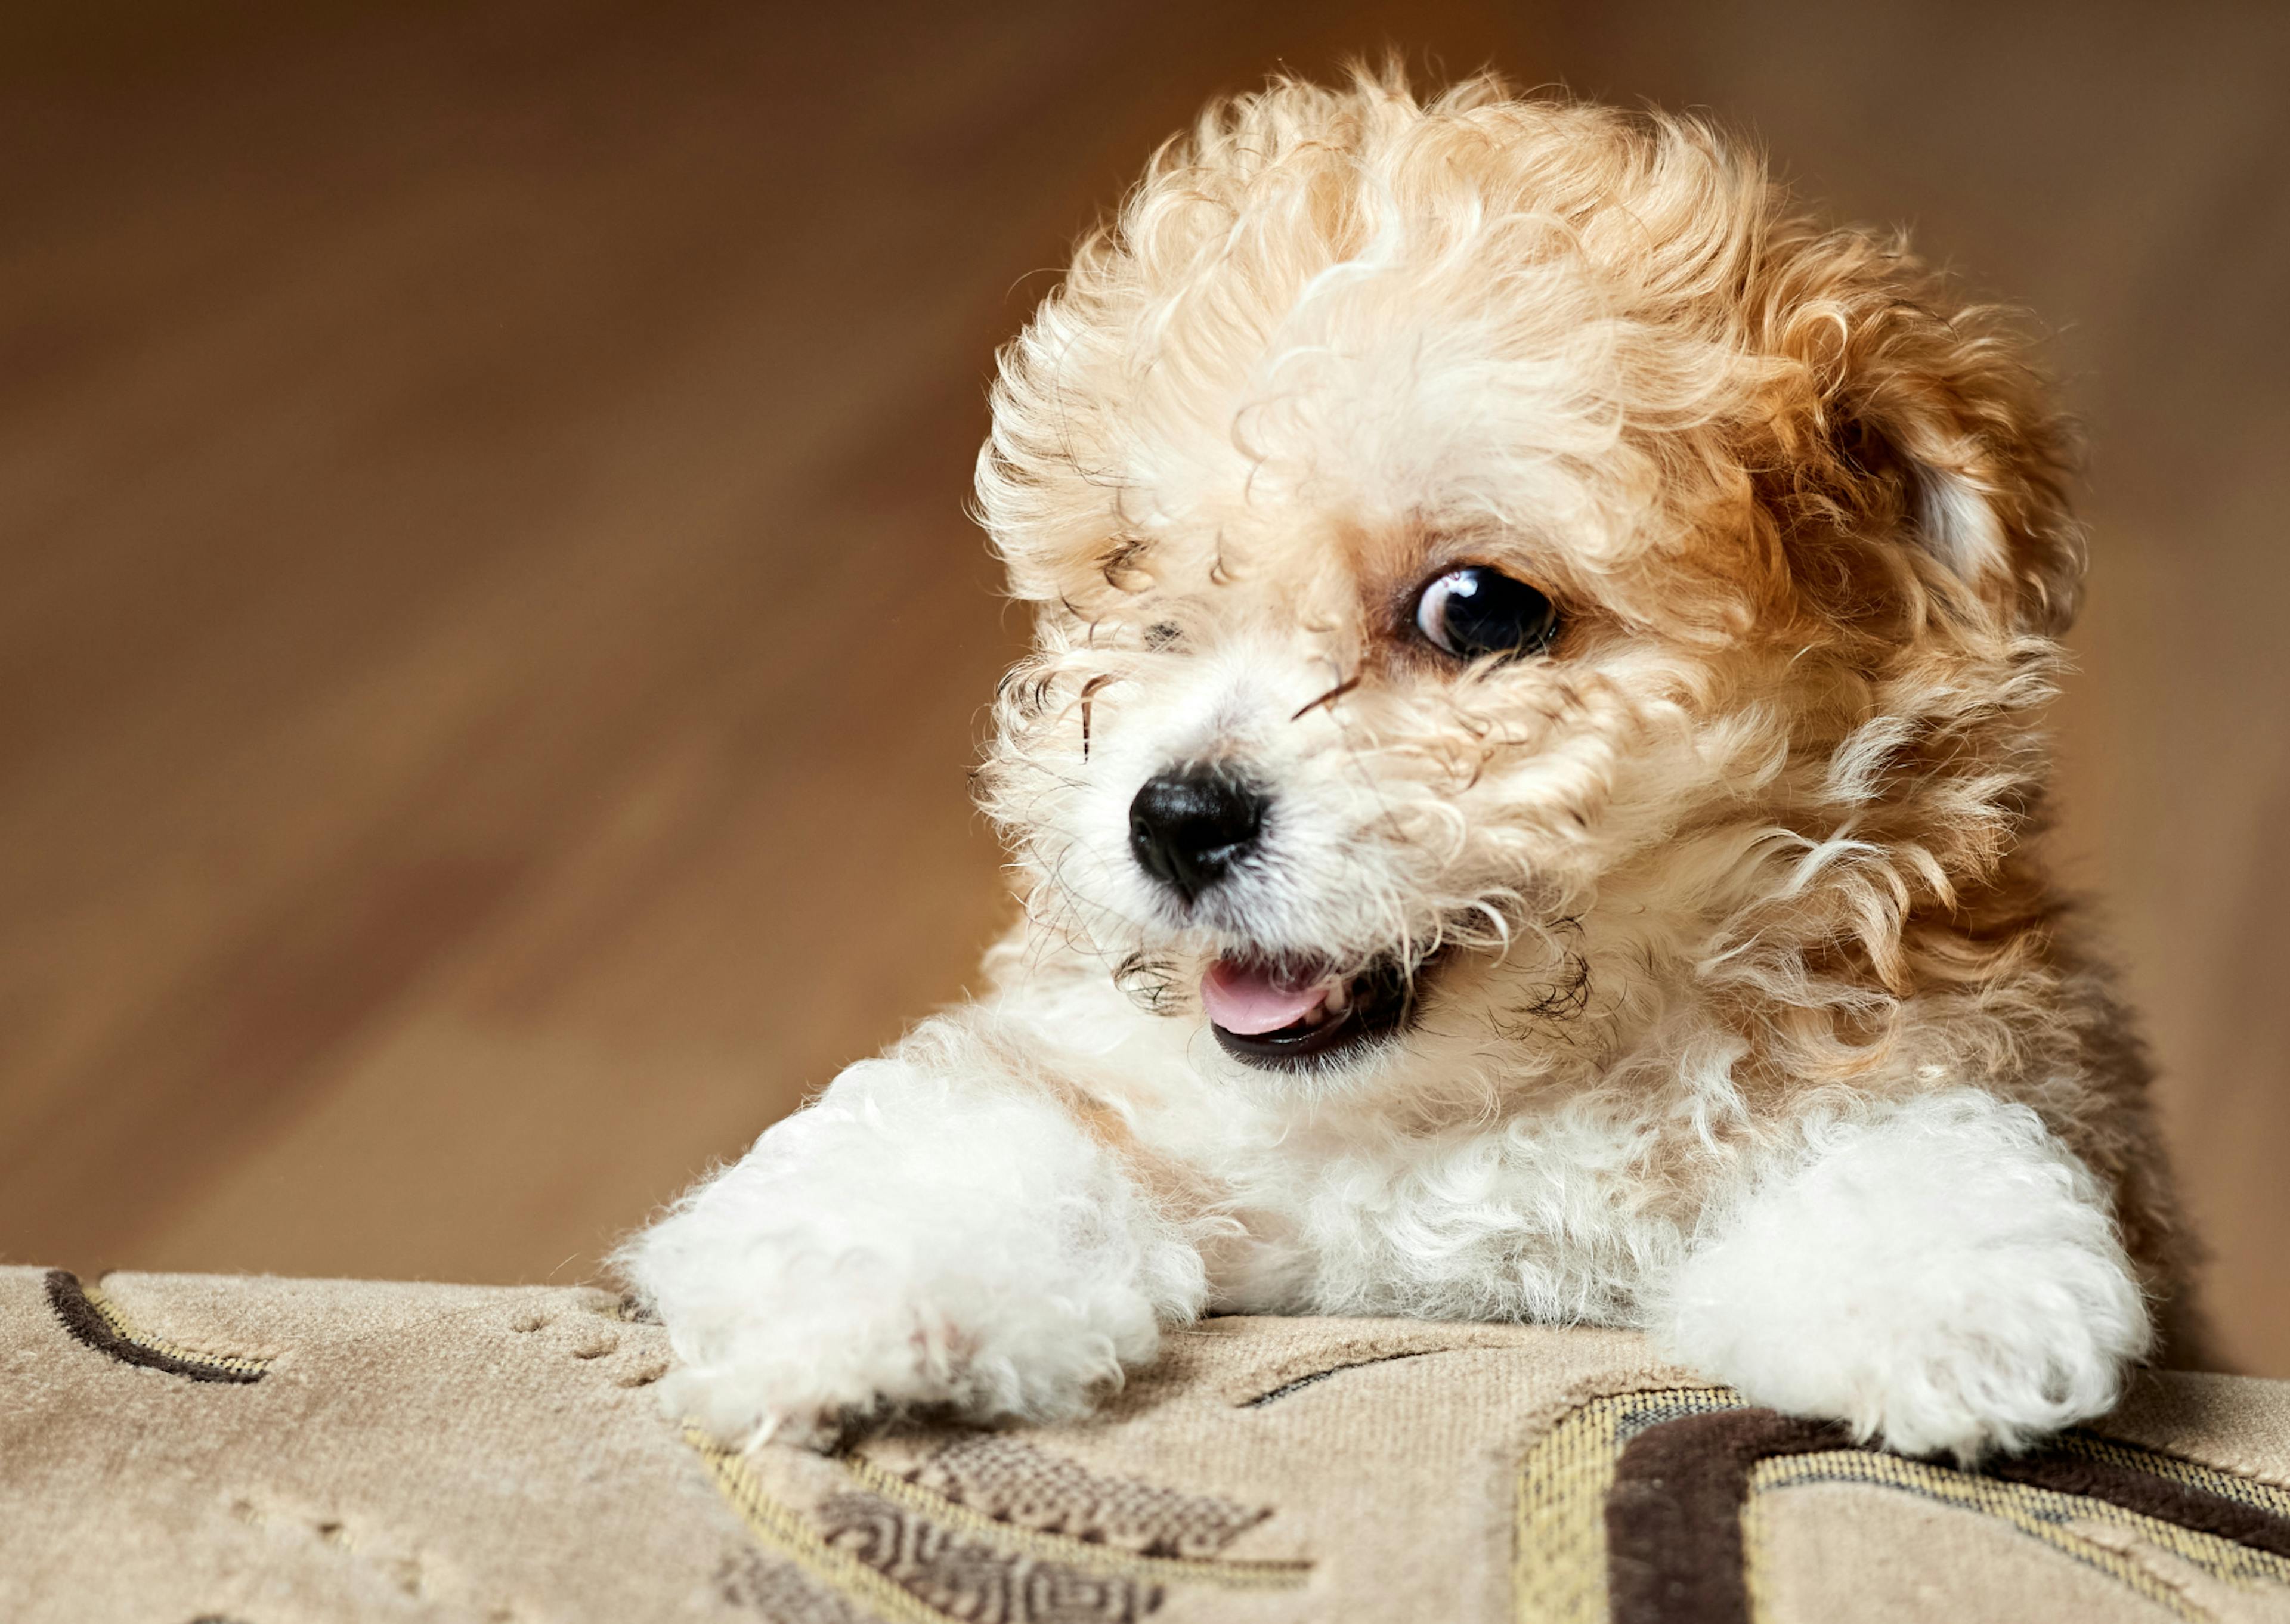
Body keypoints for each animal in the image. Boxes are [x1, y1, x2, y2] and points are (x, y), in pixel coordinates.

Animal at [618, 66, 2189, 1456]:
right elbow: (987, 1118)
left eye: (1476, 610)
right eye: (1139, 588)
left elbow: (1913, 1120)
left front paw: (1936, 1294)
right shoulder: (1138, 1089)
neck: (1465, 1112)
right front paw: (859, 1289)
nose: (1172, 819)